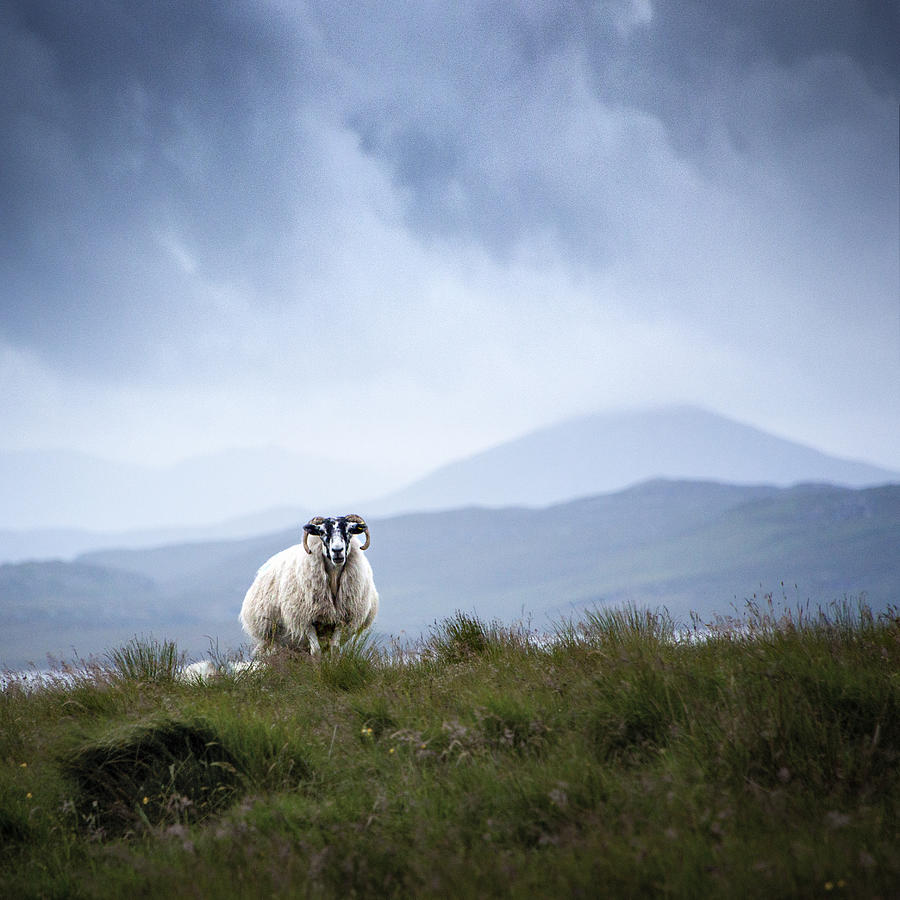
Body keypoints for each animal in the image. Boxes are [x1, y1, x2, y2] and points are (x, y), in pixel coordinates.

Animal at [237, 512, 378, 652]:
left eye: (349, 530)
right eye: (322, 532)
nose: (337, 551)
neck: (333, 578)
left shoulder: (342, 620)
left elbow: (334, 648)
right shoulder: (305, 620)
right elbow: (315, 650)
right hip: (271, 637)